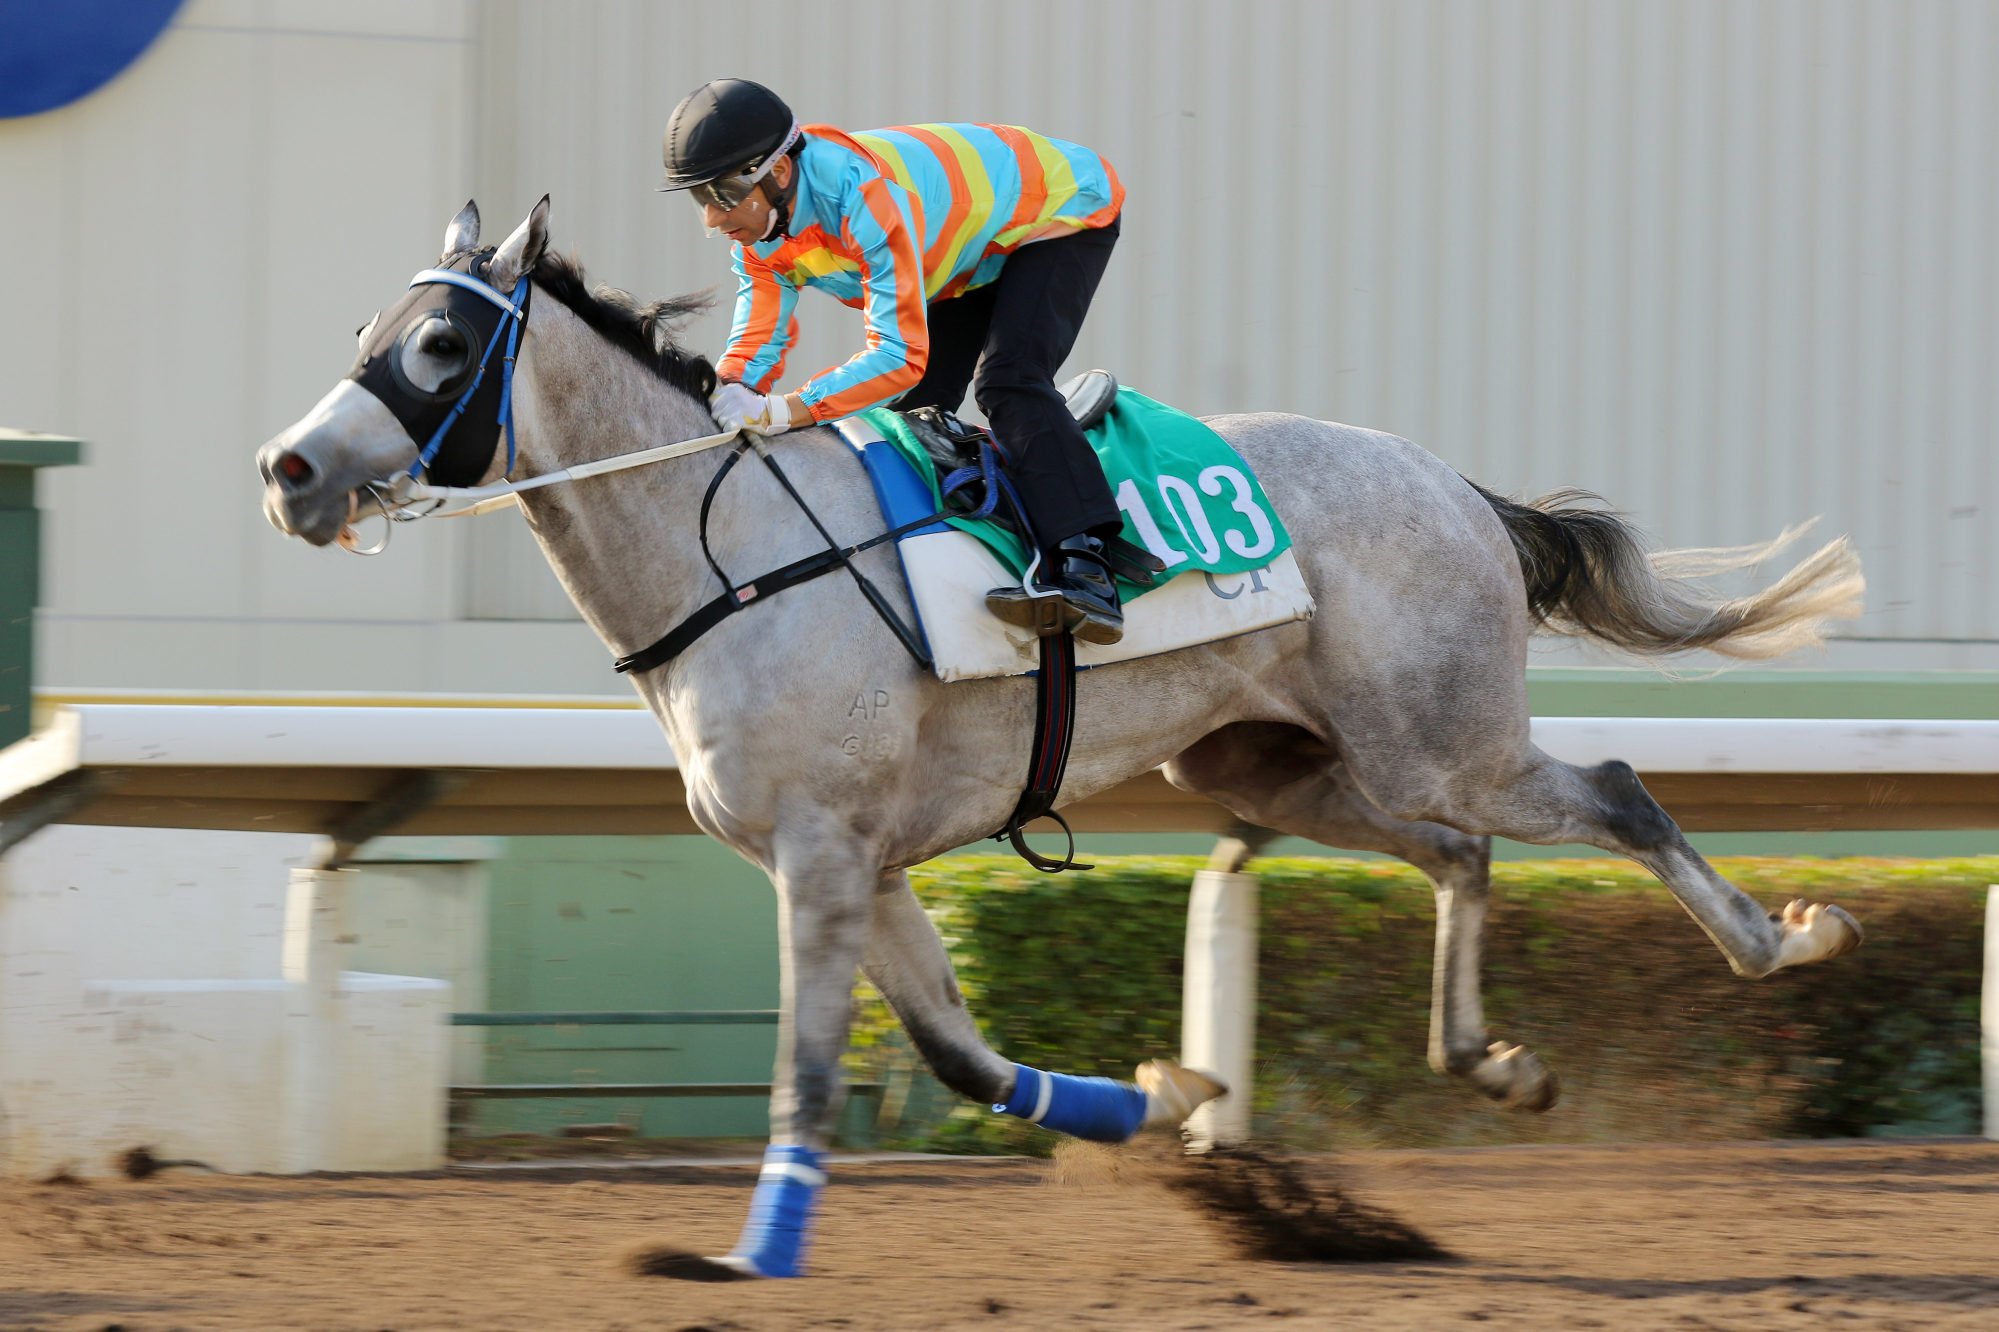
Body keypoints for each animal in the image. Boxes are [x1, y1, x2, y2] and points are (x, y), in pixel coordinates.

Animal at [257, 200, 1863, 1280]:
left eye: (441, 344)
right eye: (360, 336)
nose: (289, 470)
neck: (735, 554)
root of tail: (1458, 486)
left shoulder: (822, 851)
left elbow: (808, 1072)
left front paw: (750, 1256)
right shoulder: (859, 862)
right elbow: (961, 1060)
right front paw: (1160, 1099)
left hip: (1434, 731)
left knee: (1611, 792)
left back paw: (1782, 942)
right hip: (1273, 761)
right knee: (1459, 854)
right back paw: (1492, 1063)